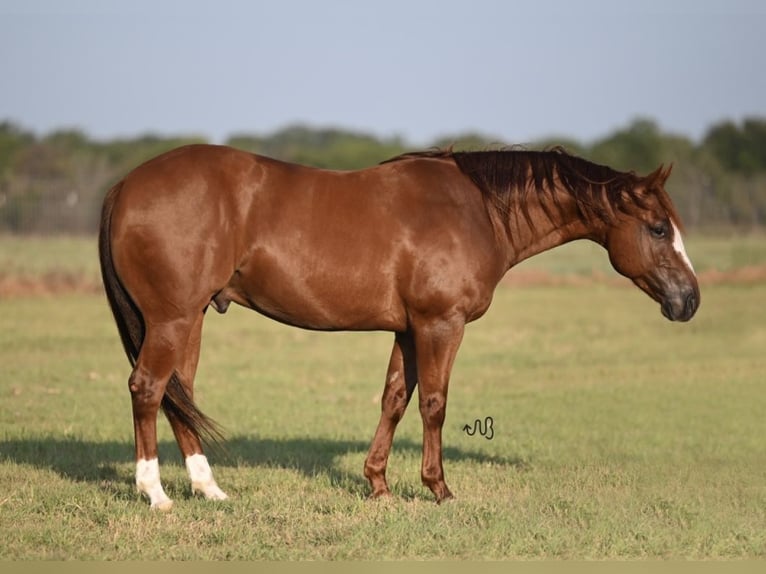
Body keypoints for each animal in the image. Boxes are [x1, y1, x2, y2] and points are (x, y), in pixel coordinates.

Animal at [97, 145, 704, 512]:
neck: (475, 210)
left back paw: (210, 489)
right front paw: (439, 489)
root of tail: (126, 183)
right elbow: (434, 403)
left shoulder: (408, 330)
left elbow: (394, 398)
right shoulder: (441, 324)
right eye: (657, 228)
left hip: (190, 320)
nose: (690, 300)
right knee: (148, 389)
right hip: (172, 320)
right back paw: (156, 494)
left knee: (179, 395)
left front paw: (379, 485)